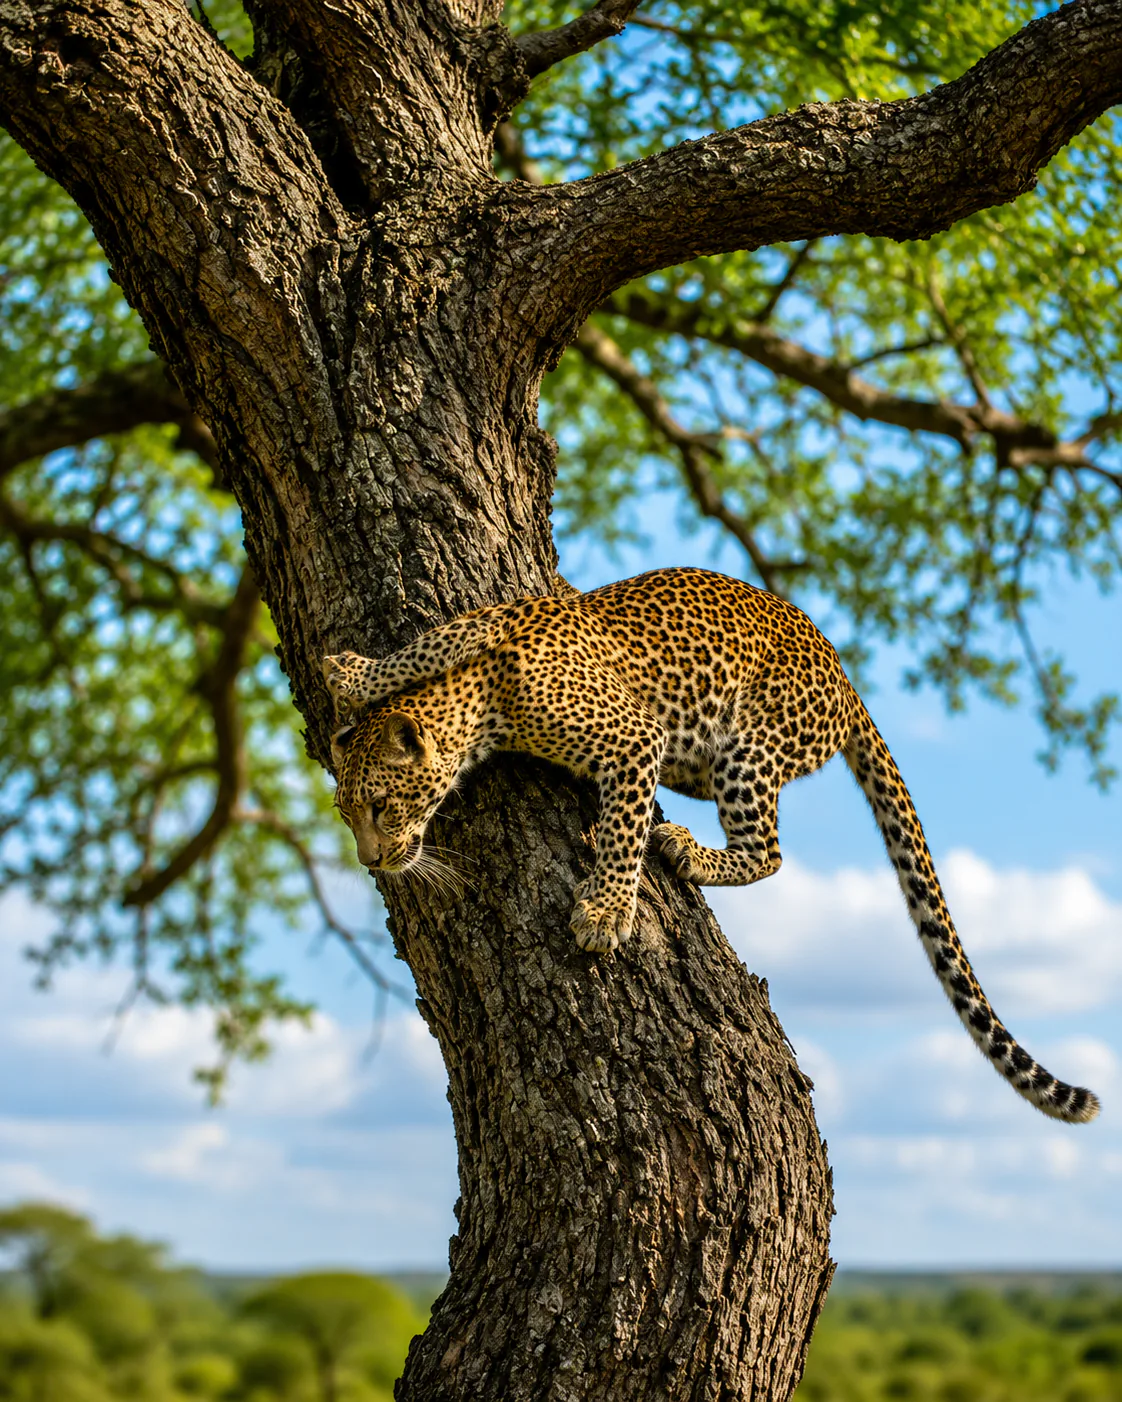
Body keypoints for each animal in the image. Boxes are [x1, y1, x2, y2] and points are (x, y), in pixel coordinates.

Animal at [323, 566, 1099, 1124]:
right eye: (348, 813)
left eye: (381, 807)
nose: (370, 862)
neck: (485, 699)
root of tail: (847, 683)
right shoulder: (487, 625)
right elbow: (421, 649)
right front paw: (353, 675)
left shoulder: (631, 737)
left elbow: (622, 831)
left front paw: (604, 912)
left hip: (749, 748)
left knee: (769, 850)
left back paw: (686, 849)